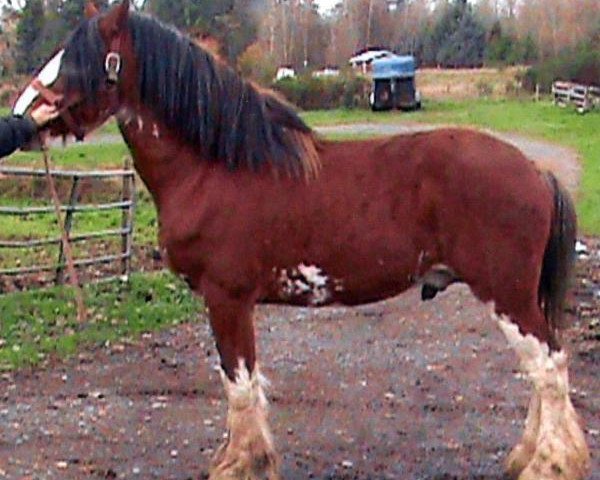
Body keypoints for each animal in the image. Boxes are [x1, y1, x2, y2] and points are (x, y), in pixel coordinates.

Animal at [15, 1, 592, 478]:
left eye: (80, 60)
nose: (20, 116)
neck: (212, 168)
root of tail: (534, 171)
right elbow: (242, 384)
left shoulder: (227, 298)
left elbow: (239, 384)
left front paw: (241, 464)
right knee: (542, 368)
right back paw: (525, 457)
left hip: (506, 293)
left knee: (549, 367)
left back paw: (549, 463)